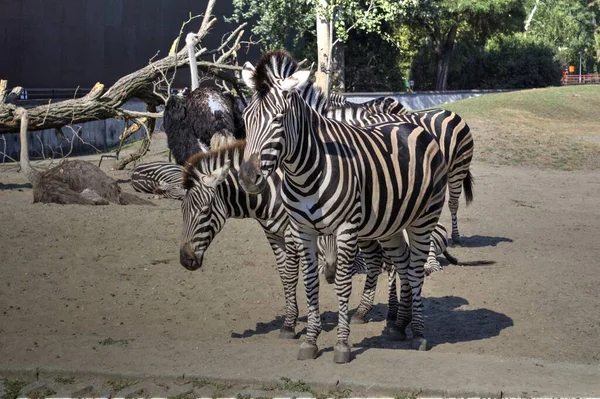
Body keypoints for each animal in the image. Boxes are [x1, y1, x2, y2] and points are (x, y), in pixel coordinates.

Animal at [237, 51, 448, 364]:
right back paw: (399, 325)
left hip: (424, 219)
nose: (248, 178)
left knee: (416, 268)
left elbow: (343, 285)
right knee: (403, 262)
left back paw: (419, 333)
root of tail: (411, 124)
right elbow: (309, 282)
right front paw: (310, 341)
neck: (306, 172)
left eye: (278, 119)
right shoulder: (302, 230)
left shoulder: (346, 230)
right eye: (245, 118)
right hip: (391, 224)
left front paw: (342, 345)